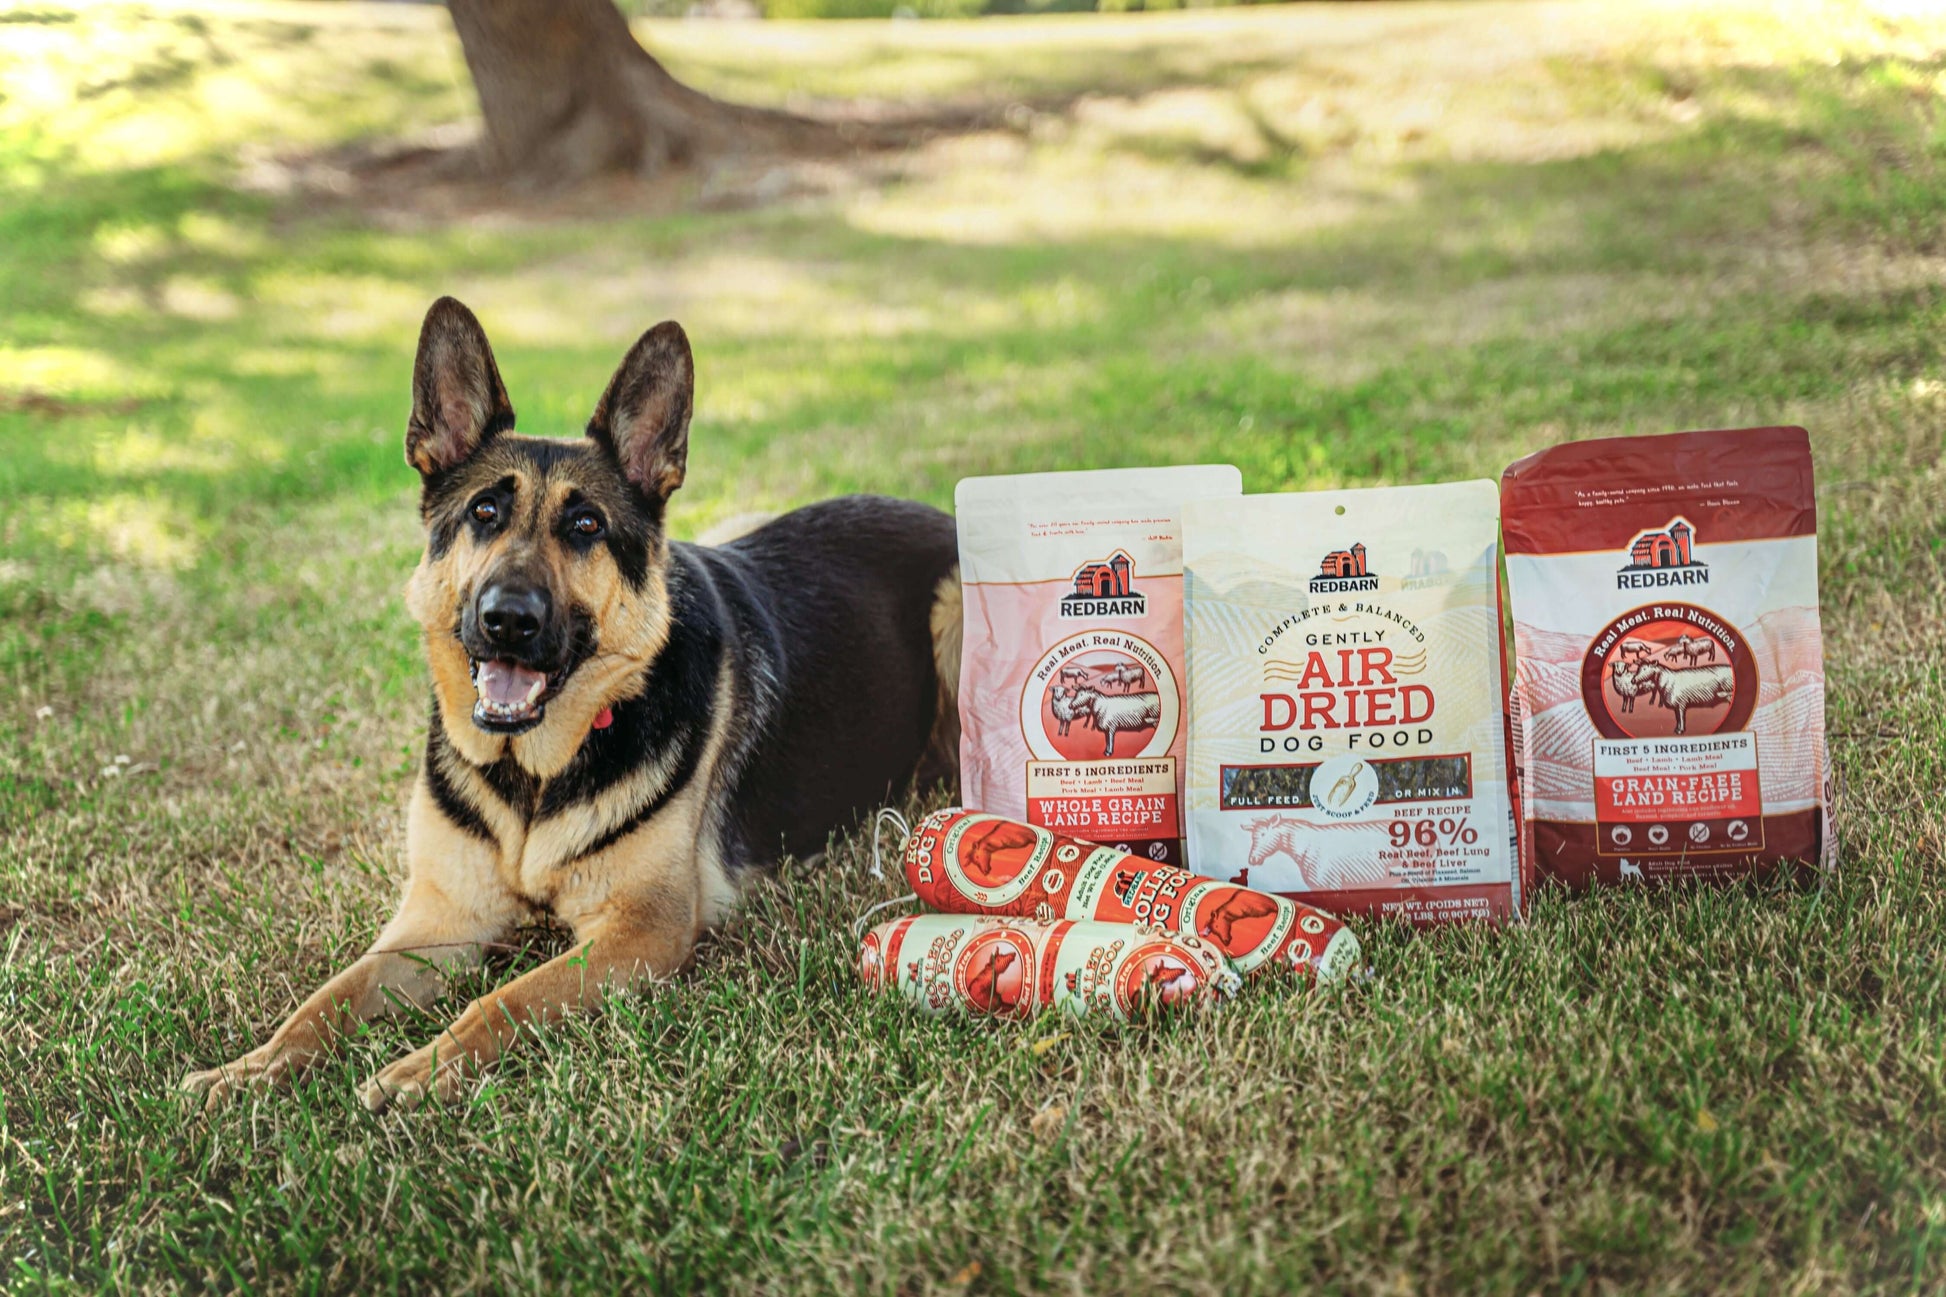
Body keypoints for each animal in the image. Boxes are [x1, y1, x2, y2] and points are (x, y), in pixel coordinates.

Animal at [185, 297, 961, 1106]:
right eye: (484, 511)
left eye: (586, 525)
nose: (508, 619)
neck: (530, 774)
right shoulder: (438, 918)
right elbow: (329, 996)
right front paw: (252, 1067)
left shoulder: (641, 929)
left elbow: (504, 999)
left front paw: (426, 1066)